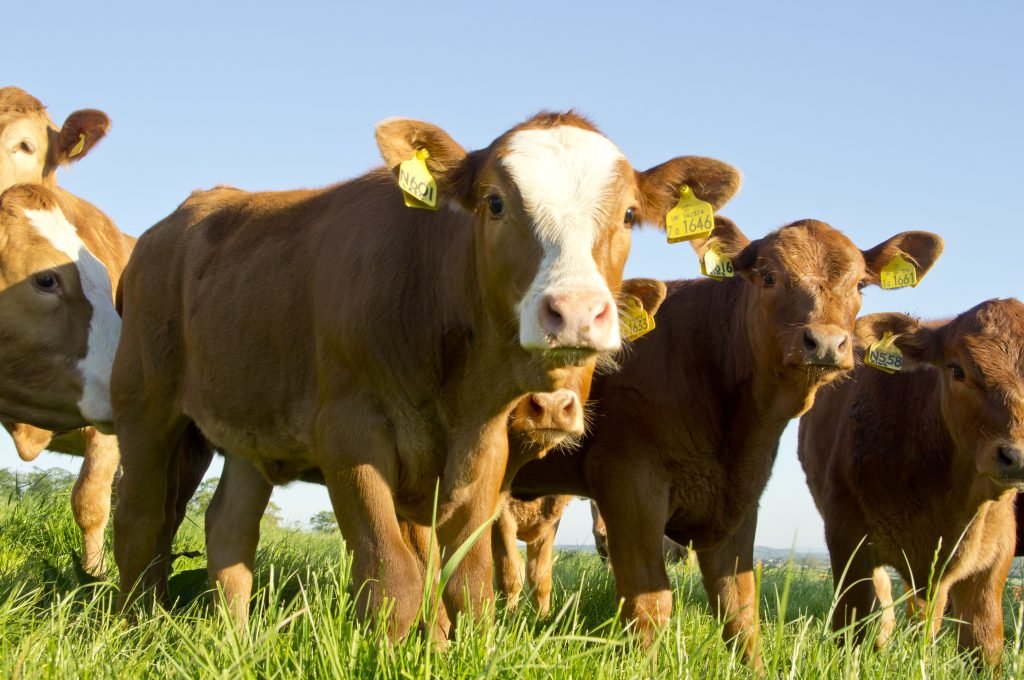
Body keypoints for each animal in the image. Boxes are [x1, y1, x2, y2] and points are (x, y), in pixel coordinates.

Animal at [111, 111, 742, 637]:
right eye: (494, 203)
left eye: (629, 214)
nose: (577, 311)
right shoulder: (350, 434)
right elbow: (396, 576)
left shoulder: (484, 448)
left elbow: (468, 582)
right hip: (144, 403)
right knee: (141, 519)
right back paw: (135, 626)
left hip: (250, 429)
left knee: (228, 531)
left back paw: (237, 640)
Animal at [511, 216, 943, 669]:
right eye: (769, 276)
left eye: (860, 284)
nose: (826, 342)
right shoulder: (628, 482)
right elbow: (649, 601)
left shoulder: (738, 498)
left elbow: (739, 608)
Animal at [798, 299, 1024, 668]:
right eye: (957, 370)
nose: (1016, 456)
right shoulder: (847, 535)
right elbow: (854, 622)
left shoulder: (997, 552)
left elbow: (984, 640)